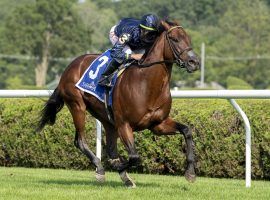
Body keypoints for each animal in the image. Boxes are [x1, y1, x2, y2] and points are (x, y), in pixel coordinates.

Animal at [37, 20, 199, 188]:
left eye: (188, 38)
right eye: (174, 39)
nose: (194, 62)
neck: (146, 84)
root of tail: (69, 67)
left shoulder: (158, 124)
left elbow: (187, 131)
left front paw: (190, 173)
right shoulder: (124, 125)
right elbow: (134, 157)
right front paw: (117, 166)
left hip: (106, 118)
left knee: (110, 148)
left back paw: (123, 176)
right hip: (77, 106)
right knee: (80, 141)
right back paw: (101, 168)